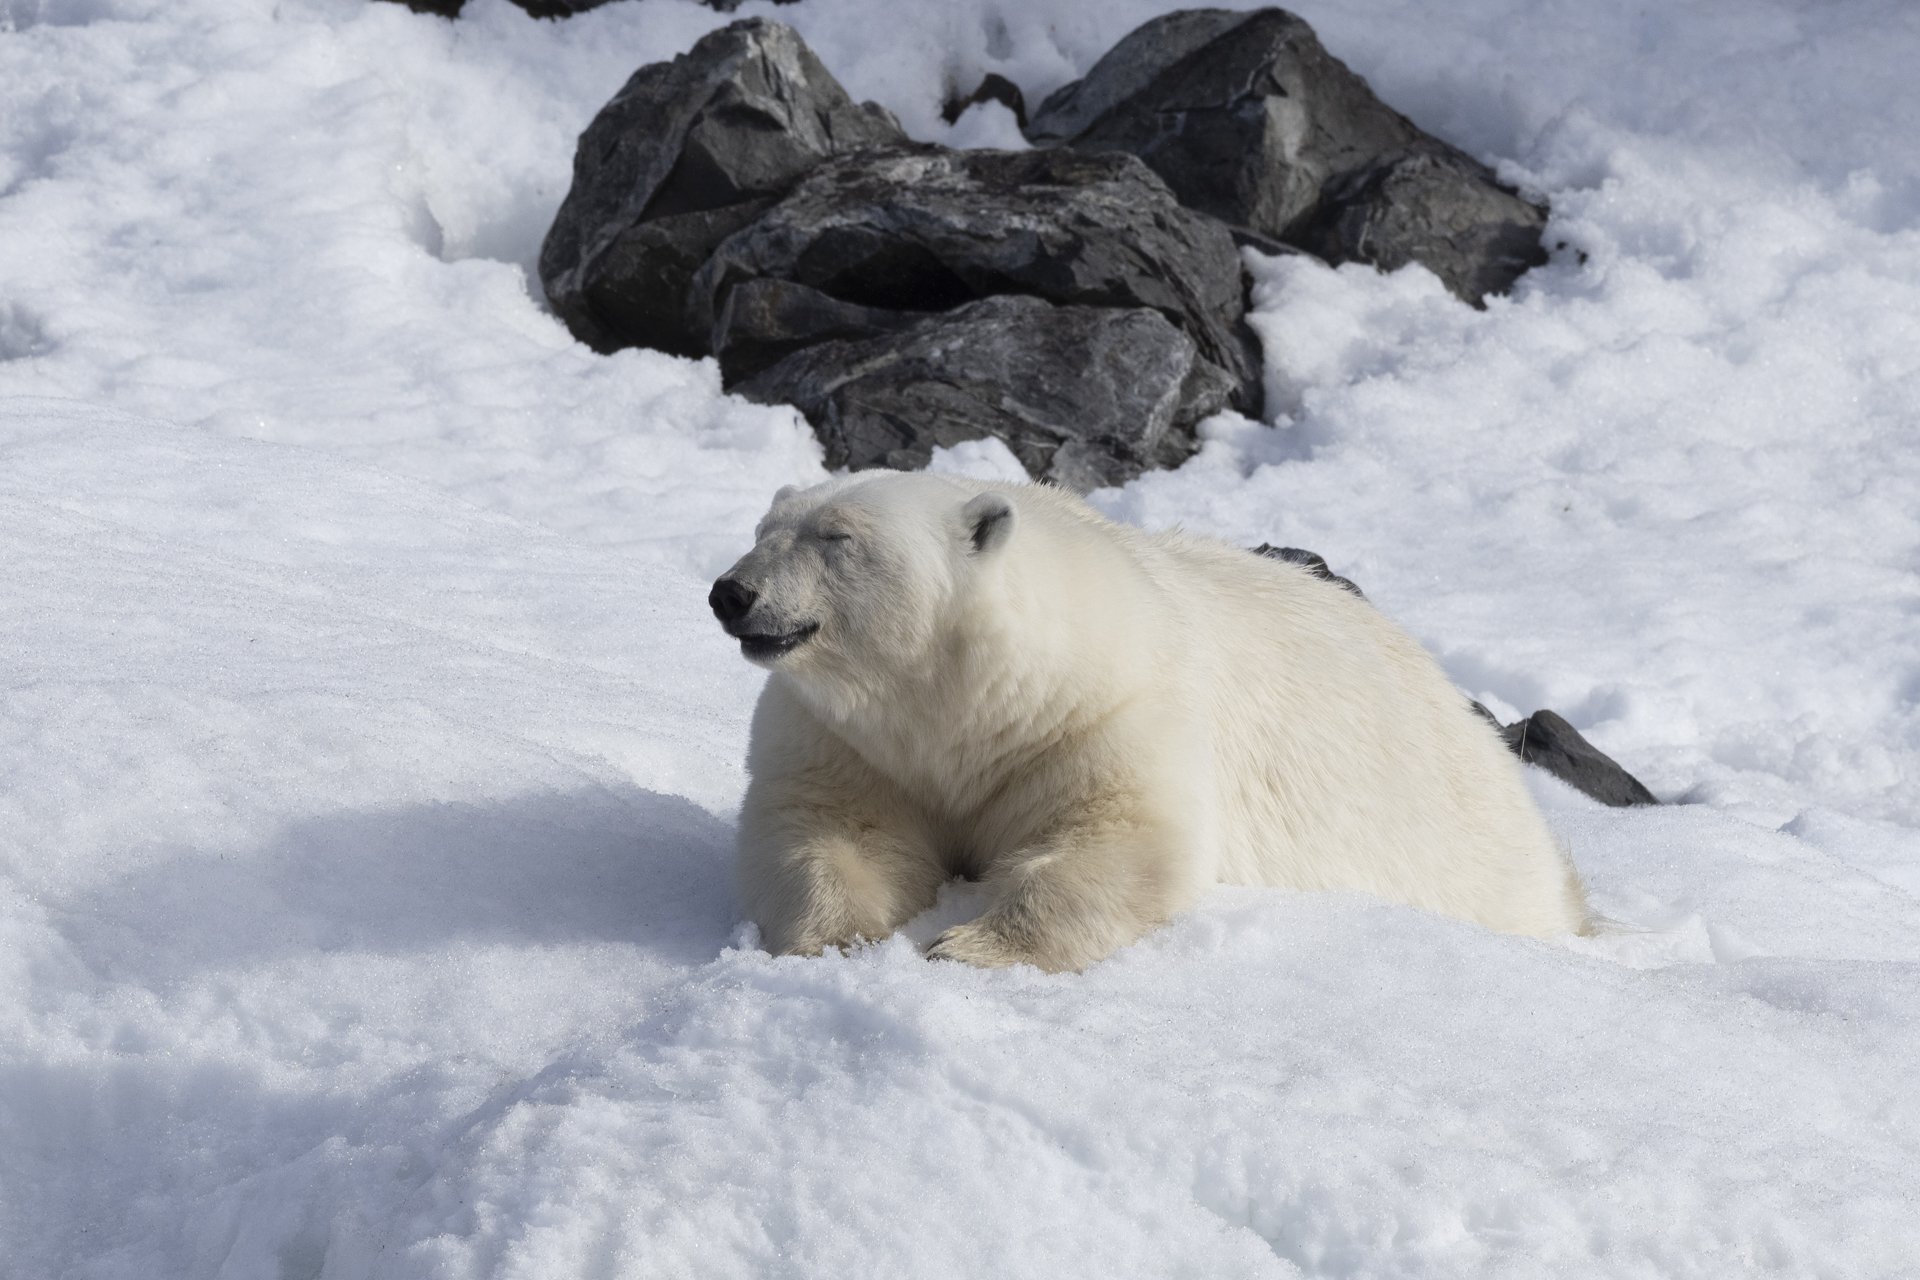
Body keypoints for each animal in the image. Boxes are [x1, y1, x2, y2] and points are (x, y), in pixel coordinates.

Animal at [710, 471, 1589, 972]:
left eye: (836, 537)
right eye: (762, 530)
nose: (732, 592)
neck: (971, 700)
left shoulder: (1103, 715)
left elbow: (1122, 842)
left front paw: (964, 944)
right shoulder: (853, 739)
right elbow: (831, 828)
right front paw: (838, 939)